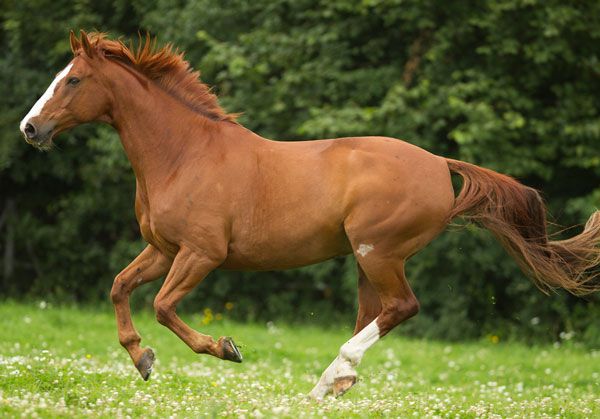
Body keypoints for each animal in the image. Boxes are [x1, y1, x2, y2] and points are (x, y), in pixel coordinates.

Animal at [19, 31, 600, 398]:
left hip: (378, 251)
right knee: (375, 314)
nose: (29, 128)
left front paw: (225, 348)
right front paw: (141, 358)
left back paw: (327, 381)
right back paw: (336, 382)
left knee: (401, 308)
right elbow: (120, 286)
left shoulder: (202, 253)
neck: (183, 154)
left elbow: (162, 305)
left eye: (72, 80)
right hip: (367, 259)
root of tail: (440, 164)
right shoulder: (164, 249)